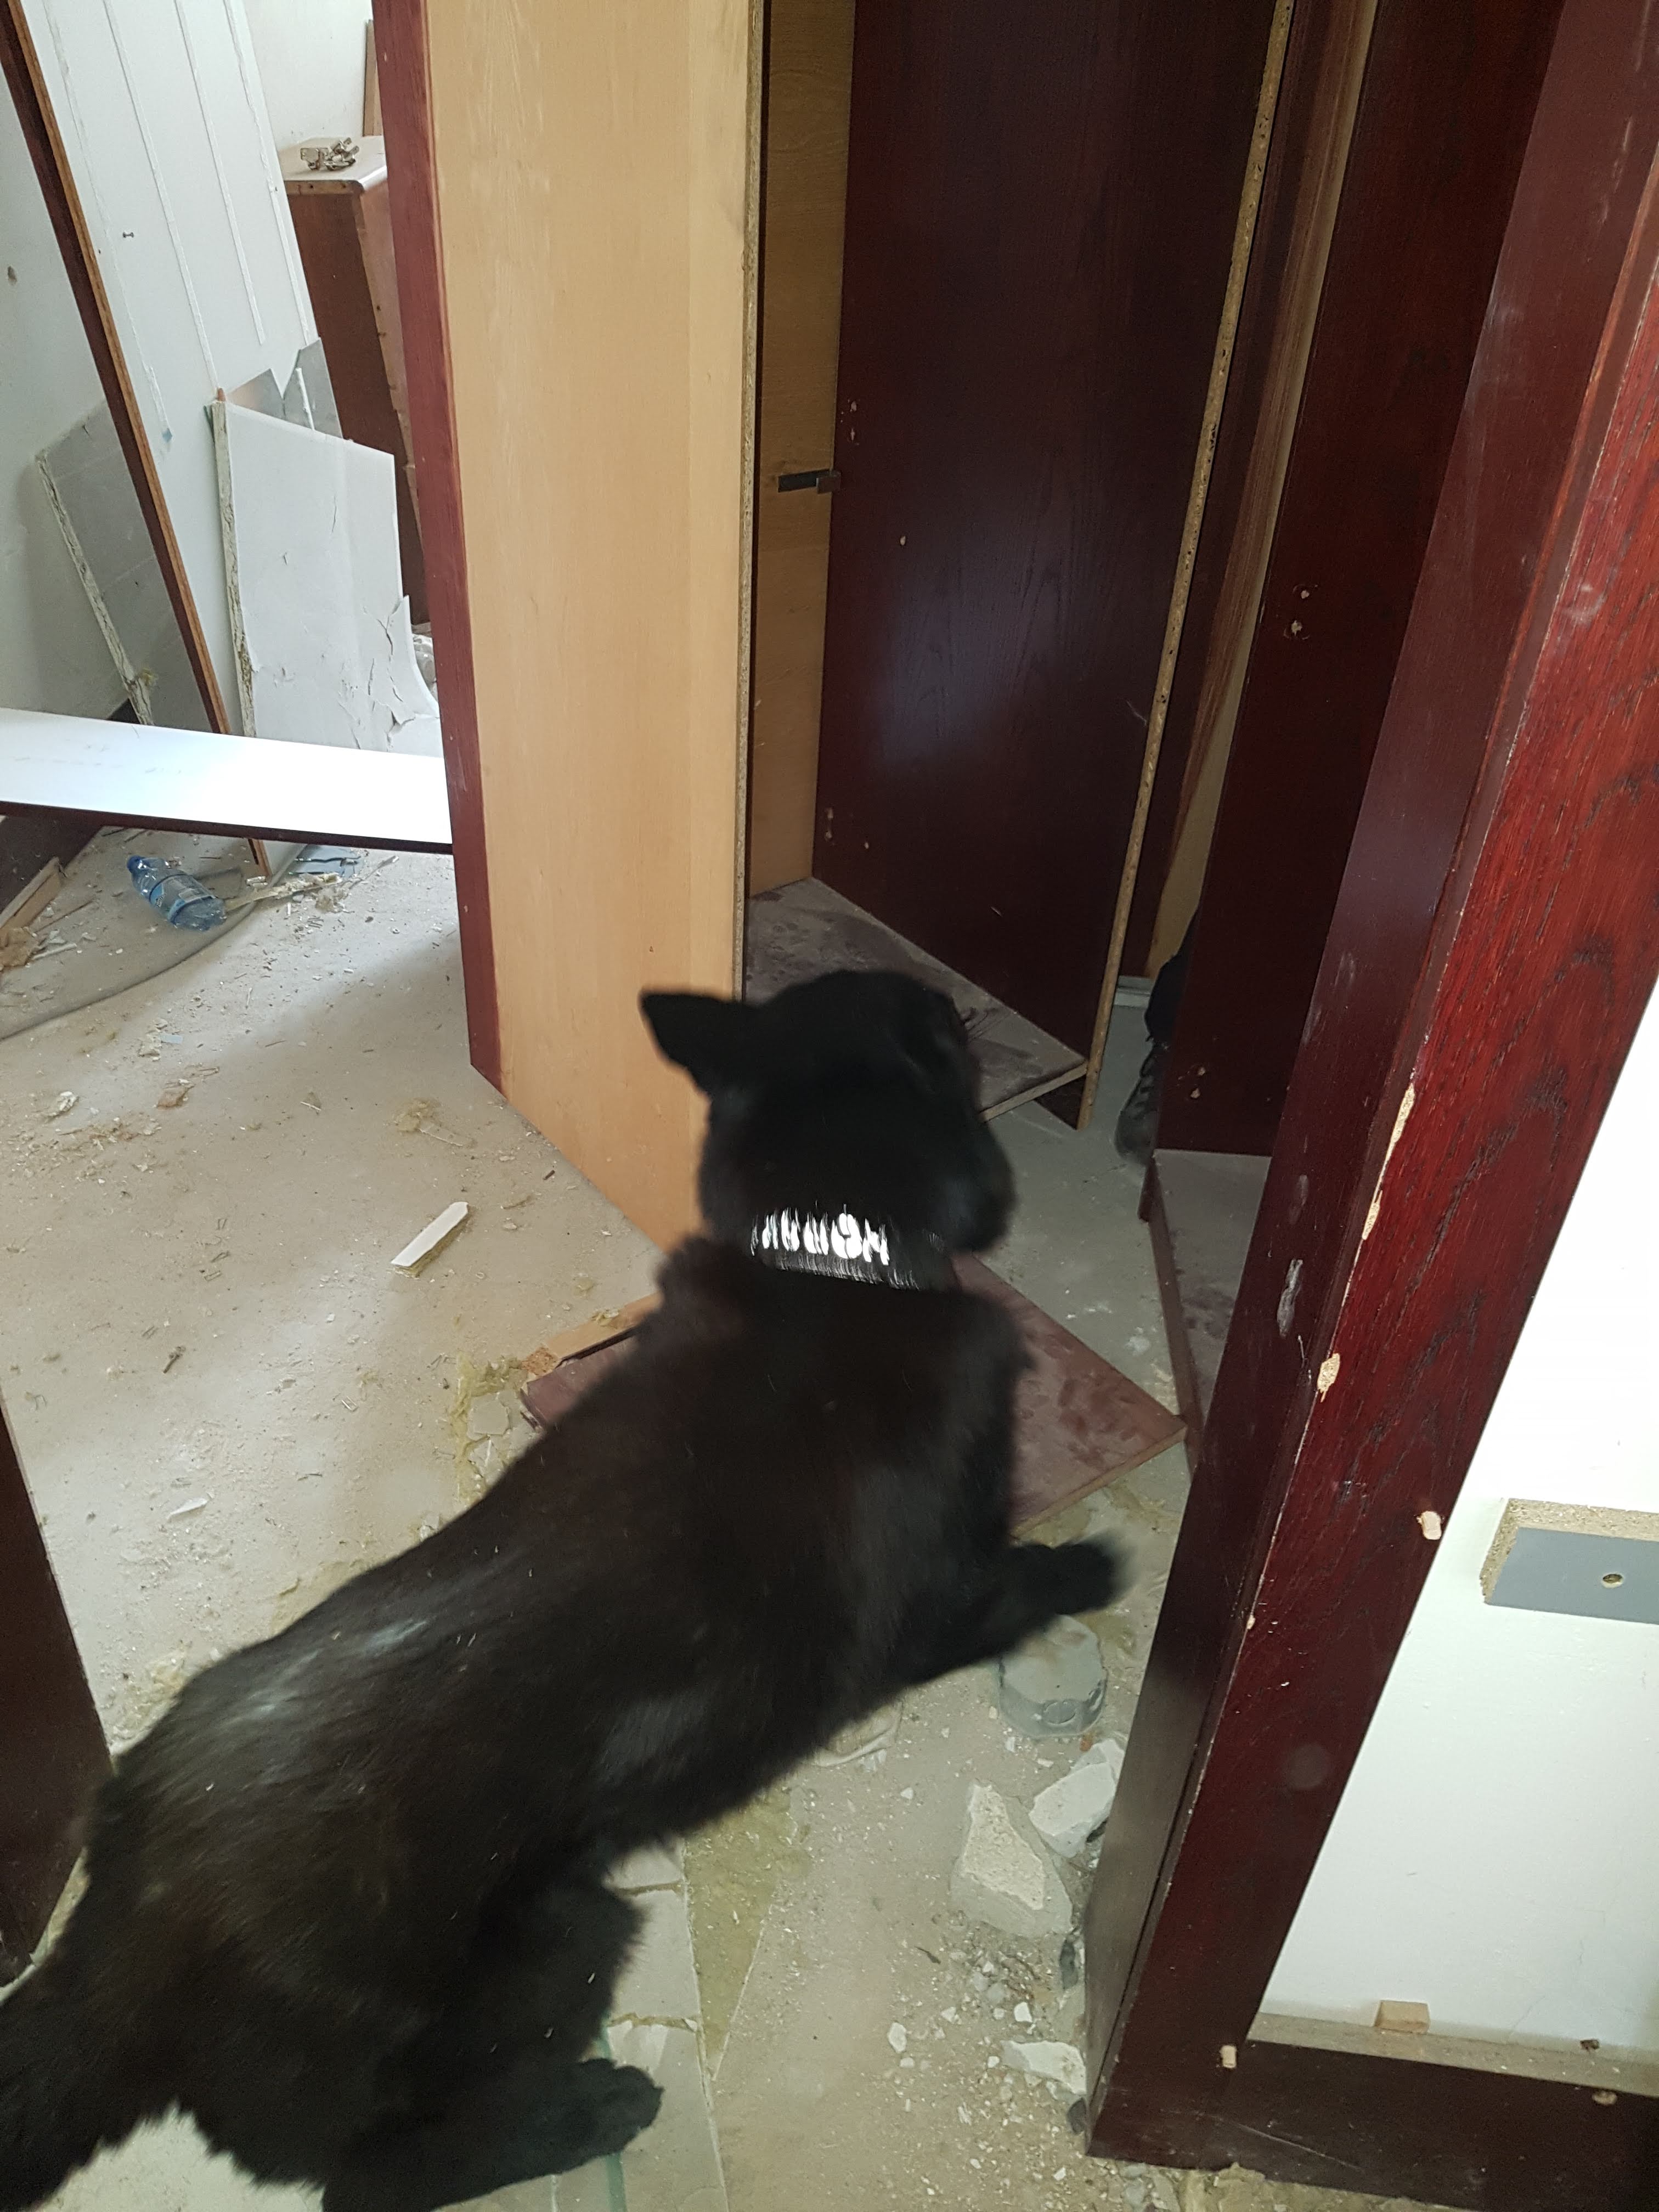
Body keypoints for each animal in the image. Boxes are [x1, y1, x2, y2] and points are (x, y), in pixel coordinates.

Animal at [0, 969, 1126, 2212]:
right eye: (939, 1025)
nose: (947, 993)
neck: (828, 1259)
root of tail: (122, 1929)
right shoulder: (937, 1604)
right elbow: (1025, 1581)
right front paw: (1096, 1567)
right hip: (559, 1946)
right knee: (381, 2173)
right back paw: (590, 2111)